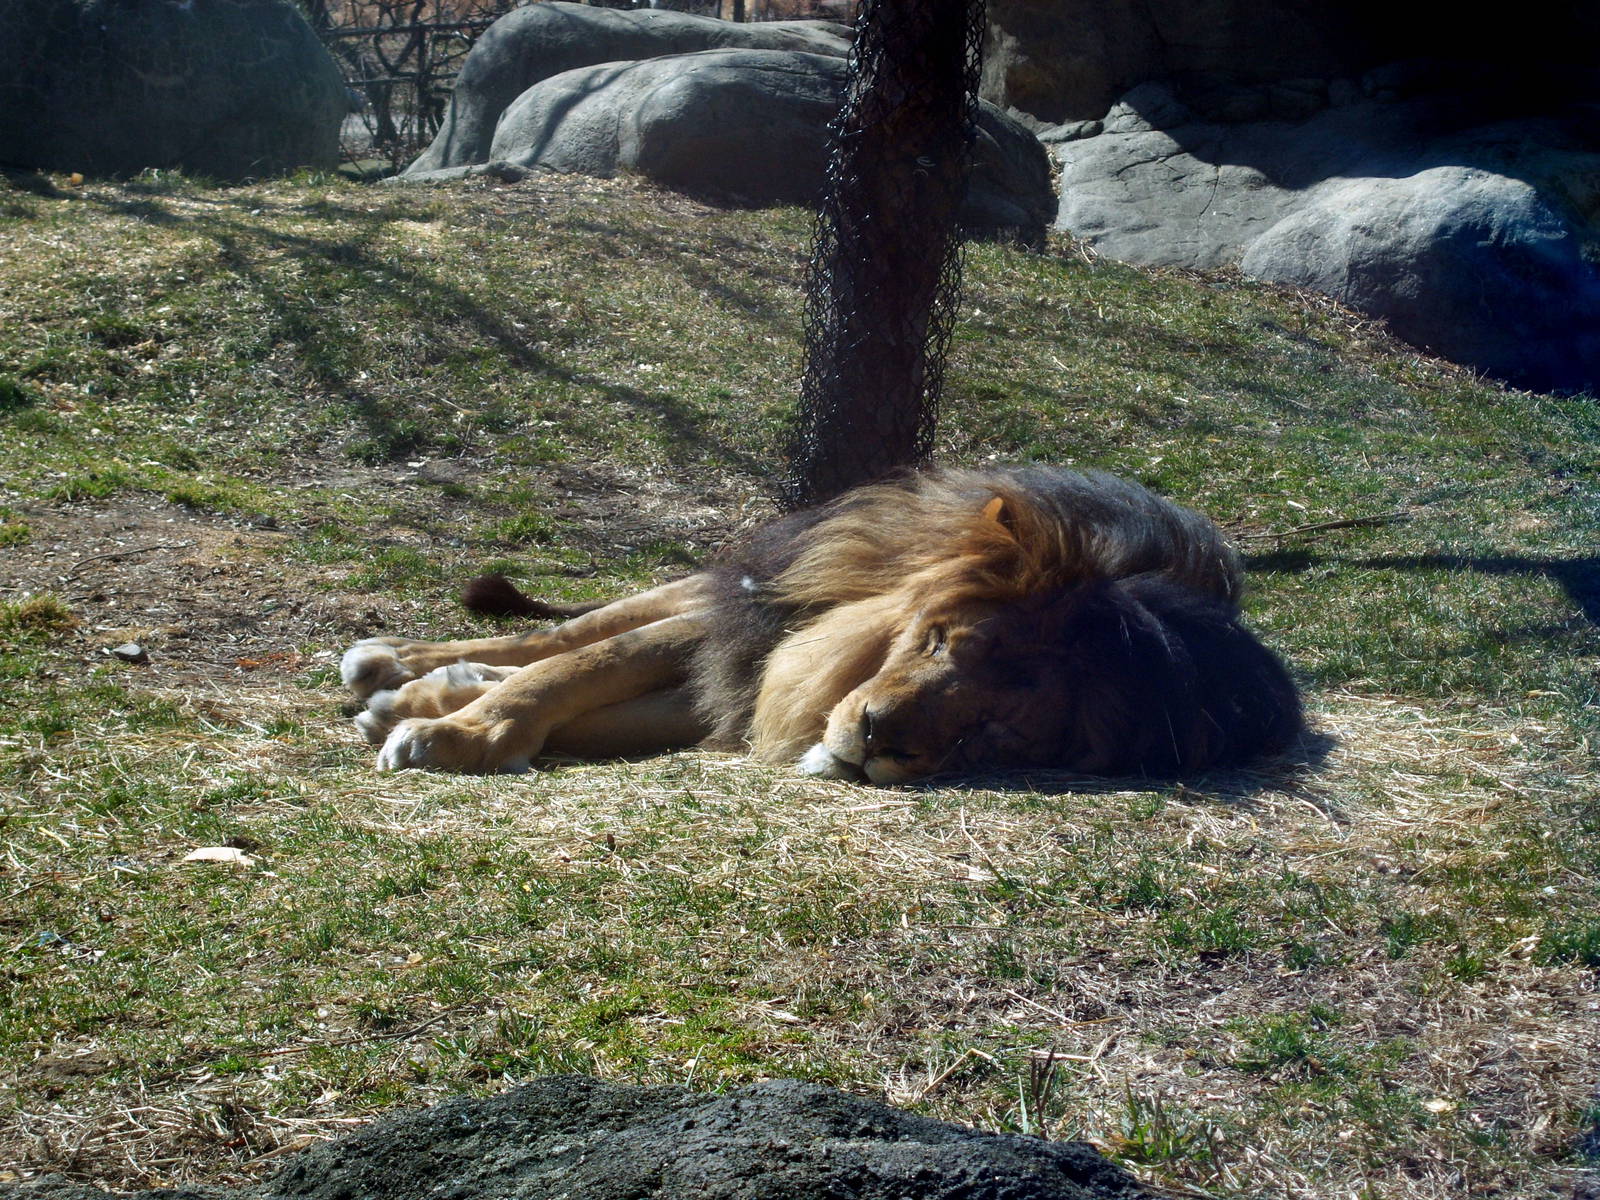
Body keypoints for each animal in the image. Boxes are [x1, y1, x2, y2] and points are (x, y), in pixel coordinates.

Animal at [340, 466, 1302, 783]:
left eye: (997, 732)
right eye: (941, 640)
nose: (875, 740)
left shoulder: (736, 692)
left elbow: (589, 702)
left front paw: (446, 722)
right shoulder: (751, 632)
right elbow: (572, 666)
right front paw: (456, 737)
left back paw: (414, 692)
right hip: (738, 585)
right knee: (555, 635)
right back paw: (392, 666)